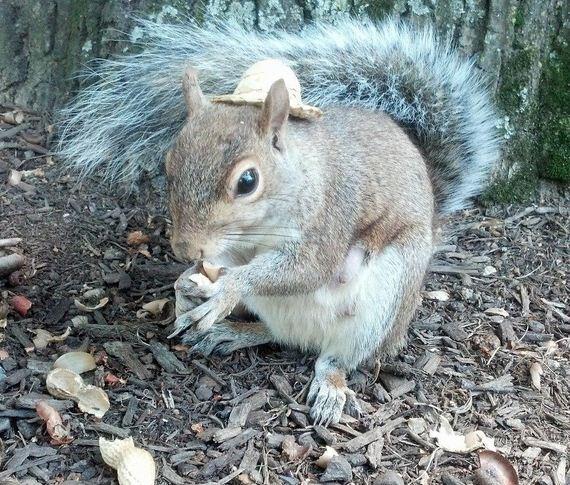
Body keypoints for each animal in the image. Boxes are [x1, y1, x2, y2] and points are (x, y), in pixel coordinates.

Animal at [56, 18, 496, 424]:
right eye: (168, 165)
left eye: (247, 181)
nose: (185, 248)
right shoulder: (231, 247)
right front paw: (185, 286)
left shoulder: (331, 215)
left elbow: (307, 268)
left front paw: (227, 288)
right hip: (279, 311)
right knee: (279, 335)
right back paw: (232, 332)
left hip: (385, 299)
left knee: (337, 358)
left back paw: (329, 386)